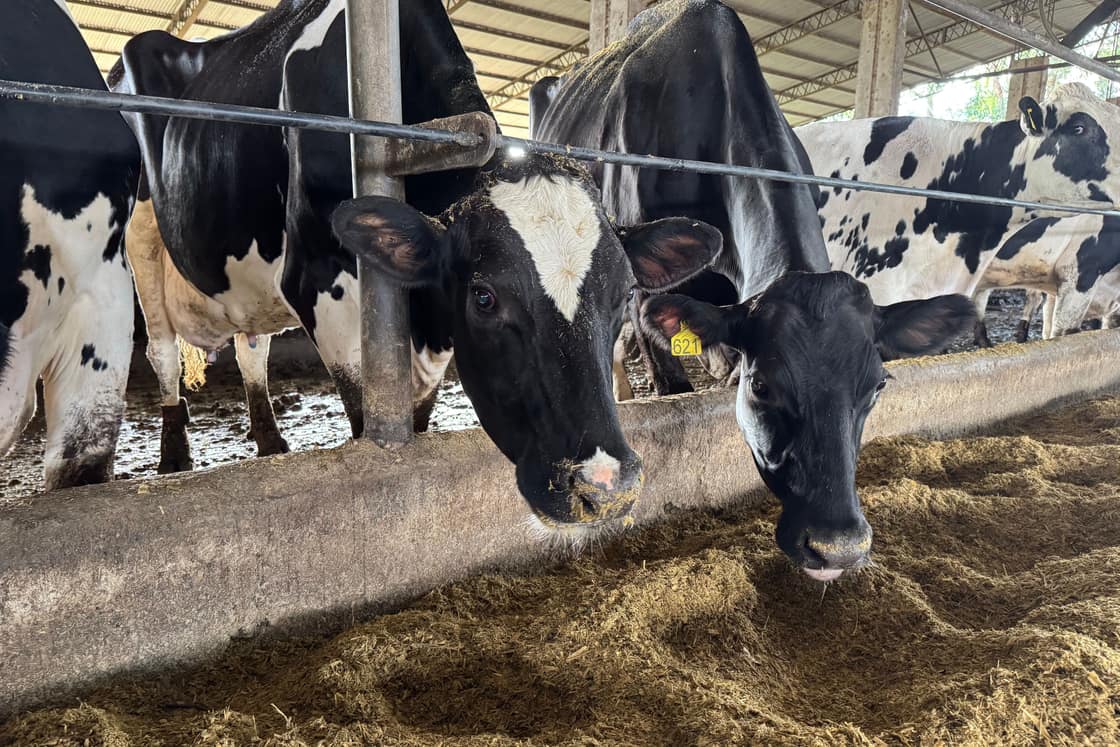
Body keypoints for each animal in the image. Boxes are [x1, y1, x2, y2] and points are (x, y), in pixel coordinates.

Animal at [116, 0, 721, 531]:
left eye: (623, 295)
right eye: (484, 297)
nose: (605, 487)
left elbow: (422, 410)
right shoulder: (319, 286)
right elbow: (367, 415)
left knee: (251, 347)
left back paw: (269, 441)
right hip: (140, 244)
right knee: (161, 350)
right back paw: (174, 459)